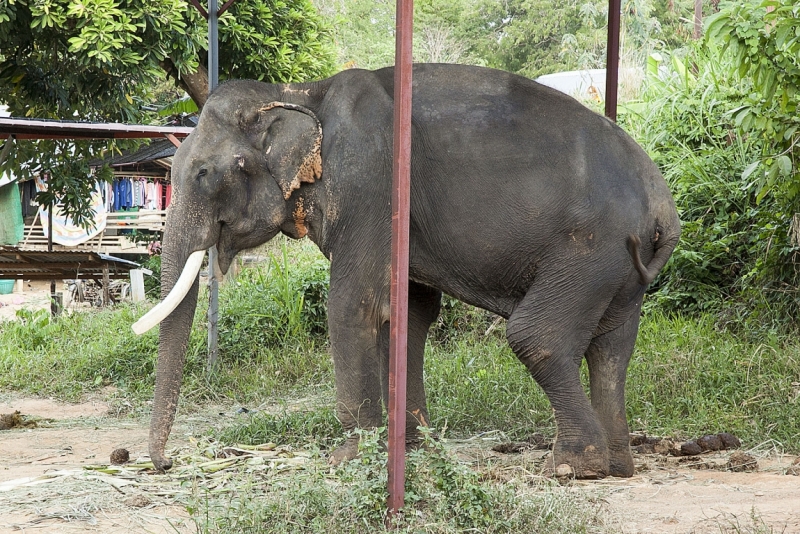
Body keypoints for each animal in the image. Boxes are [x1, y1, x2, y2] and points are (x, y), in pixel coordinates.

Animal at [133, 62, 680, 482]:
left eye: (205, 173)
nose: (165, 463)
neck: (298, 92)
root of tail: (663, 208)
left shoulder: (369, 184)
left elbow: (353, 304)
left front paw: (346, 460)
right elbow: (407, 312)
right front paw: (410, 446)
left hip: (586, 251)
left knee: (537, 337)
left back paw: (573, 468)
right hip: (618, 267)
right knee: (611, 348)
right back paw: (618, 465)